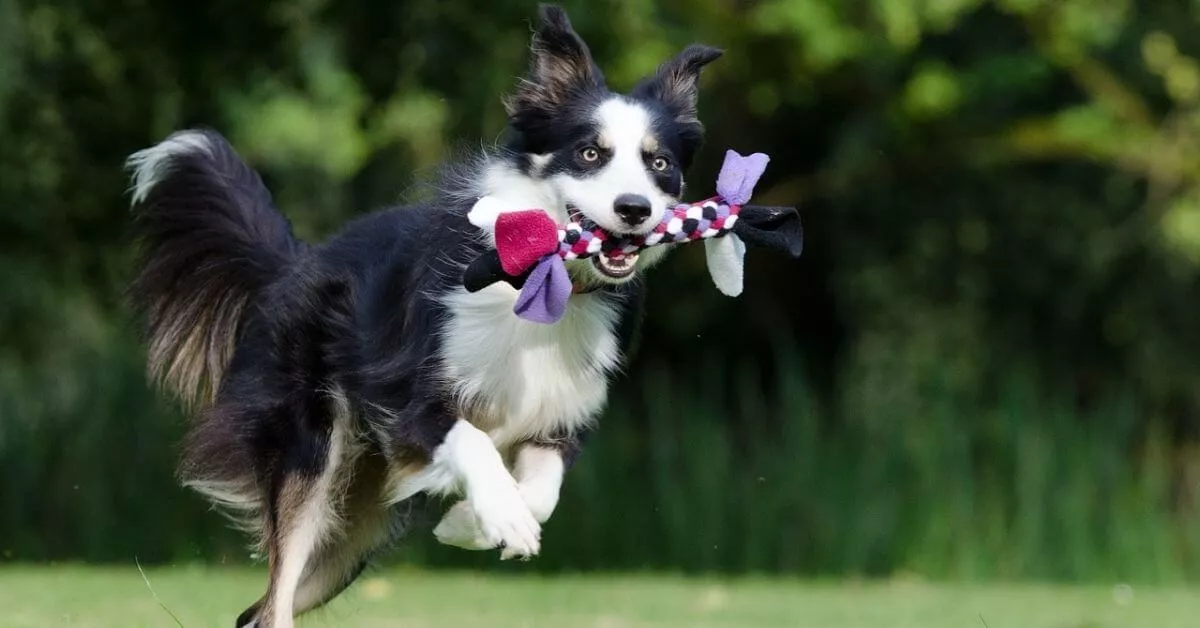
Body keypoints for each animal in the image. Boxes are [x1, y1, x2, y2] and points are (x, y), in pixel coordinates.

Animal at [125, 6, 720, 628]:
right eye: (589, 154)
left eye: (659, 164)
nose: (635, 209)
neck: (541, 282)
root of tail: (298, 262)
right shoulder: (407, 395)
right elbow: (472, 441)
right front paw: (499, 516)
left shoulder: (558, 416)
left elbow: (542, 492)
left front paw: (473, 523)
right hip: (312, 454)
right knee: (275, 599)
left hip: (355, 528)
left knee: (257, 611)